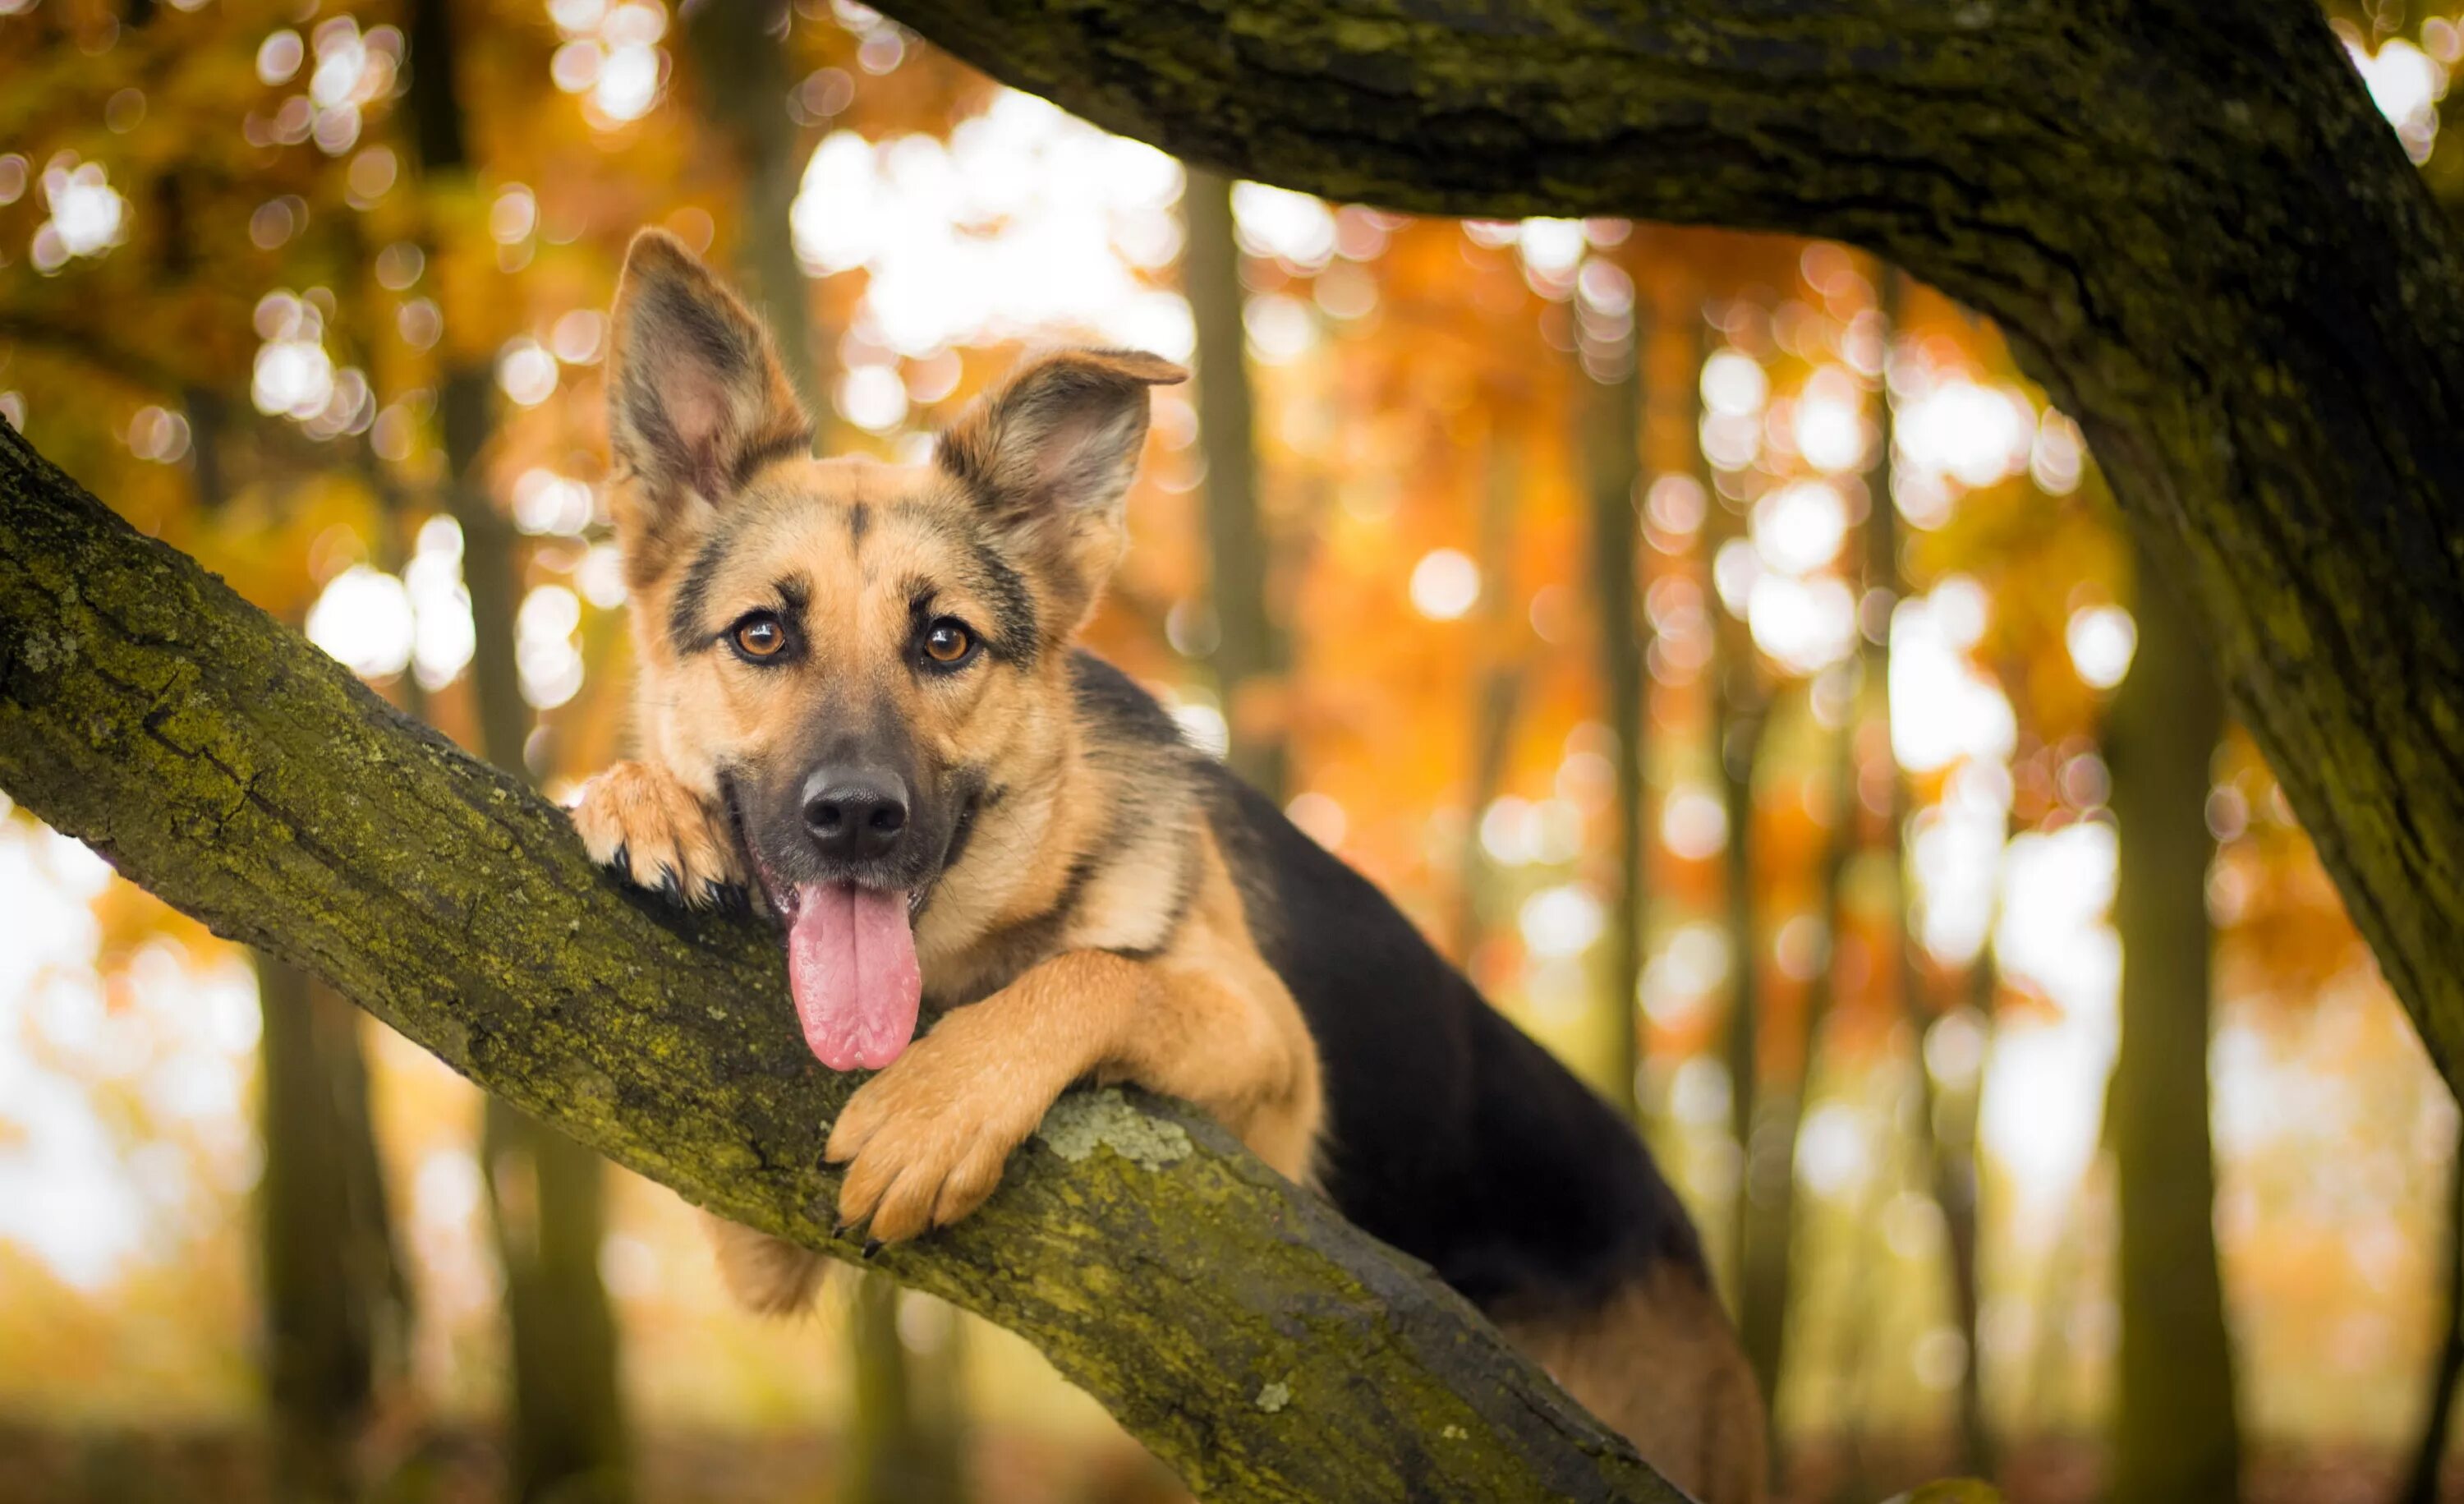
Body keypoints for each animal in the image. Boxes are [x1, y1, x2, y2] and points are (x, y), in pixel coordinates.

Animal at [572, 228, 1774, 1488]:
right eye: (762, 633)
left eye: (945, 642)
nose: (855, 816)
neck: (969, 949)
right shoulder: (758, 1234)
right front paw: (643, 800)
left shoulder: (1275, 1066)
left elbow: (1097, 972)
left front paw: (942, 1104)